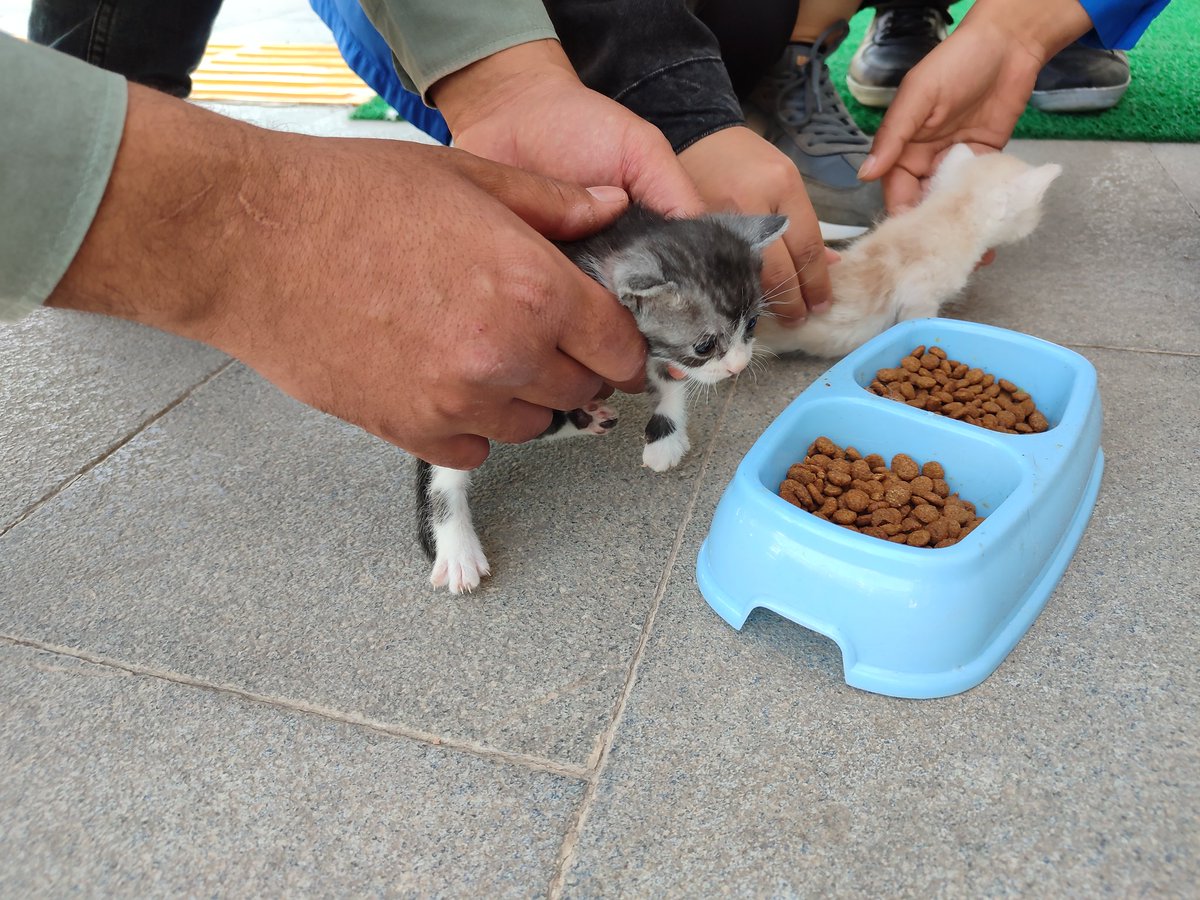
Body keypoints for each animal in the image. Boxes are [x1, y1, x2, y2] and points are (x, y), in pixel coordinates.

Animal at [420, 207, 787, 595]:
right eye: (704, 346)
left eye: (752, 323)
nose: (738, 366)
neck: (618, 239)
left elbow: (667, 380)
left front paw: (666, 437)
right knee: (454, 464)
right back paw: (458, 550)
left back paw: (588, 419)